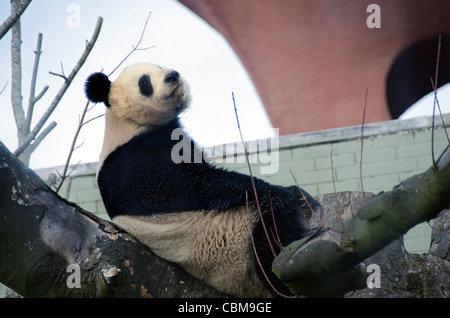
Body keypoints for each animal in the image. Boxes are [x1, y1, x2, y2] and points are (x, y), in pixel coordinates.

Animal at [83, 62, 316, 298]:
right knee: (269, 233)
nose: (173, 76)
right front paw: (287, 191)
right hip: (234, 242)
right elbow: (195, 184)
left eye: (159, 65)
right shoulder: (134, 163)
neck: (128, 122)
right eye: (144, 82)